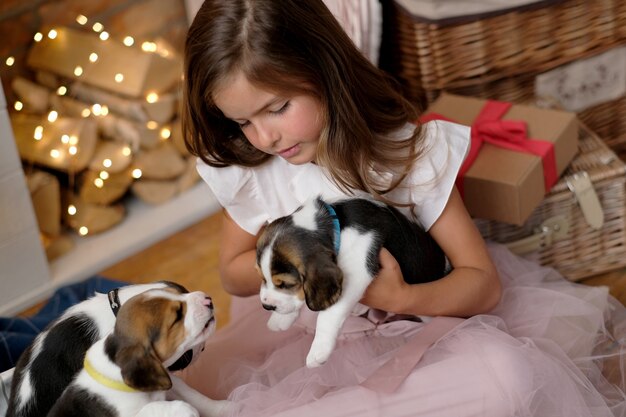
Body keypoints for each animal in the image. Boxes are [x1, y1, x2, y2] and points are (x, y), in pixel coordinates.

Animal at [256, 197, 446, 366]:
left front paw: (319, 350)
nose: (267, 306)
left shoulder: (356, 271)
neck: (337, 223)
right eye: (263, 278)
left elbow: (327, 315)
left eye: (286, 284)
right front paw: (279, 319)